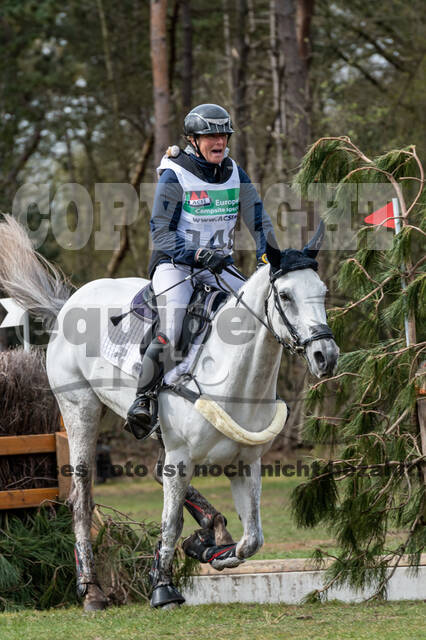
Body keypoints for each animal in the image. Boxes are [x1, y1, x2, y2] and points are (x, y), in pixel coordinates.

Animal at [0, 216, 340, 608]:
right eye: (285, 295)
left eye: (322, 292)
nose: (325, 356)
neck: (234, 376)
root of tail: (69, 303)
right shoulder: (181, 458)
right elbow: (171, 522)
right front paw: (163, 588)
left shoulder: (245, 462)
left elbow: (252, 538)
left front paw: (209, 549)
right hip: (81, 411)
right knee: (82, 498)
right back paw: (92, 590)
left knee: (157, 473)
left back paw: (211, 530)